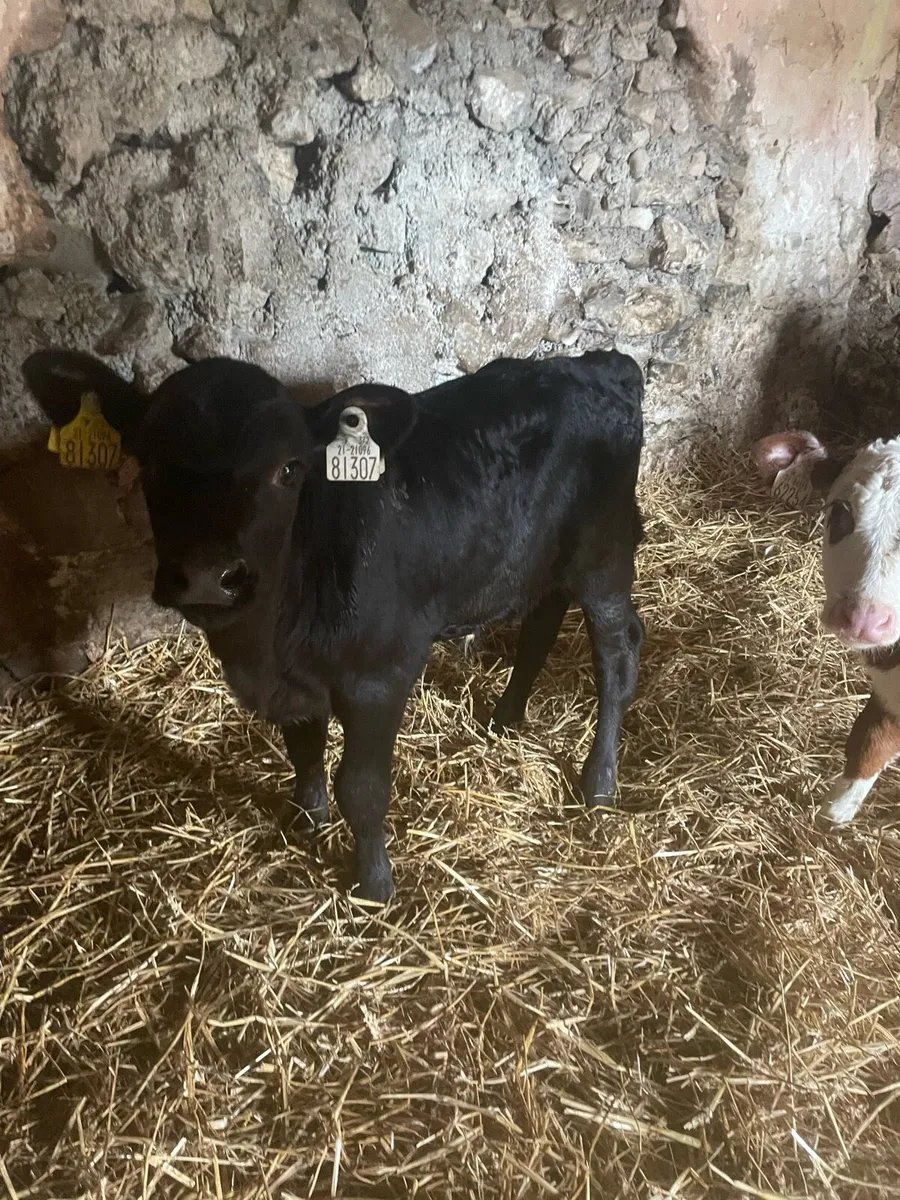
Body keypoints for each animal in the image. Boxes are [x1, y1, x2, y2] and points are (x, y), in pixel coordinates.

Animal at [23, 348, 645, 901]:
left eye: (289, 469)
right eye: (147, 463)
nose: (205, 577)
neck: (268, 646)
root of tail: (600, 365)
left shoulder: (379, 677)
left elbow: (362, 789)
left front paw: (373, 885)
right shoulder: (295, 685)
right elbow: (303, 749)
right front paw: (305, 822)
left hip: (605, 556)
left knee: (617, 658)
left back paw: (598, 782)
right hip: (541, 561)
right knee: (541, 625)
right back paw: (505, 719)